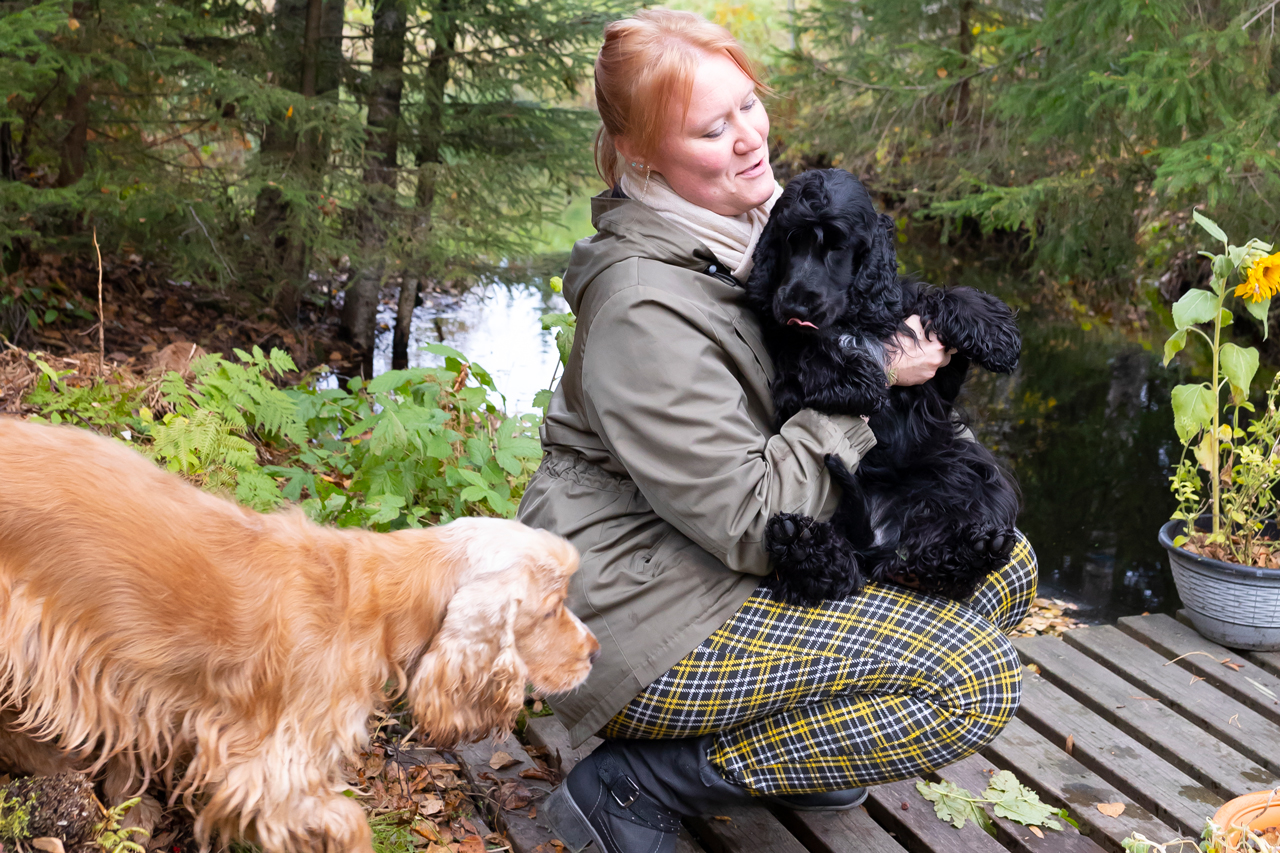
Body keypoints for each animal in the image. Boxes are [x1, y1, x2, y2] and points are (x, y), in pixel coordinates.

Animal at [747, 167, 1024, 604]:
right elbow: (807, 350)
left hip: (968, 468)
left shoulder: (939, 380)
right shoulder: (789, 360)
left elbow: (944, 294)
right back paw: (803, 545)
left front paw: (996, 334)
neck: (853, 317)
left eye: (838, 247)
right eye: (790, 241)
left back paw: (970, 551)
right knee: (843, 571)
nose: (795, 305)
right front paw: (855, 379)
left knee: (922, 558)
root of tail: (880, 536)